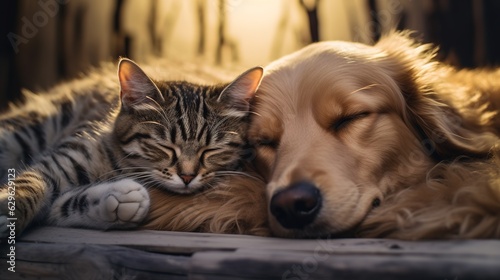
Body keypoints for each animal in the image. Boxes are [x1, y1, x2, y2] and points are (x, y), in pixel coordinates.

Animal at [0, 58, 266, 237]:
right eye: (165, 146)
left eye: (211, 150)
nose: (187, 177)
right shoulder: (57, 163)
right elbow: (28, 187)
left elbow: (58, 207)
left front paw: (116, 201)